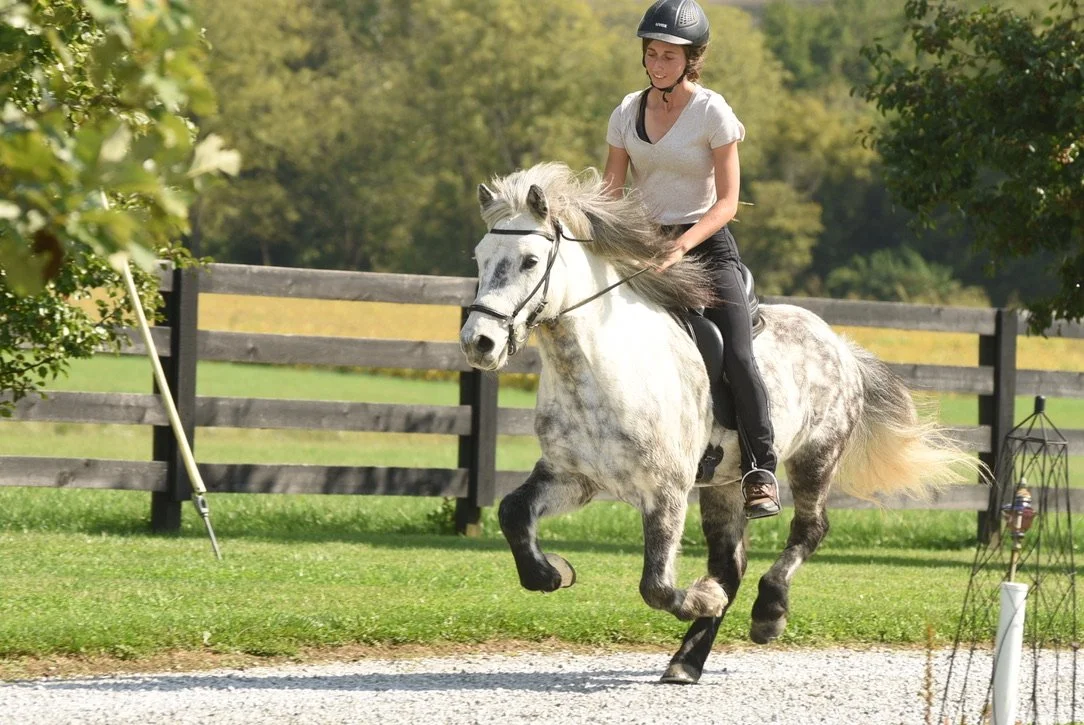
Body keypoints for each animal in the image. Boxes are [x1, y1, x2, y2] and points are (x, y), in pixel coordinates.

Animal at [458, 162, 976, 685]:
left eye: (529, 261)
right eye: (480, 257)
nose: (479, 343)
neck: (599, 366)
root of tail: (840, 344)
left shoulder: (665, 490)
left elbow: (656, 586)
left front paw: (703, 597)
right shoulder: (573, 477)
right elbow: (512, 513)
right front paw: (552, 573)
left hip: (815, 457)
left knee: (808, 530)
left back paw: (767, 614)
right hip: (725, 482)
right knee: (732, 563)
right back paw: (687, 660)